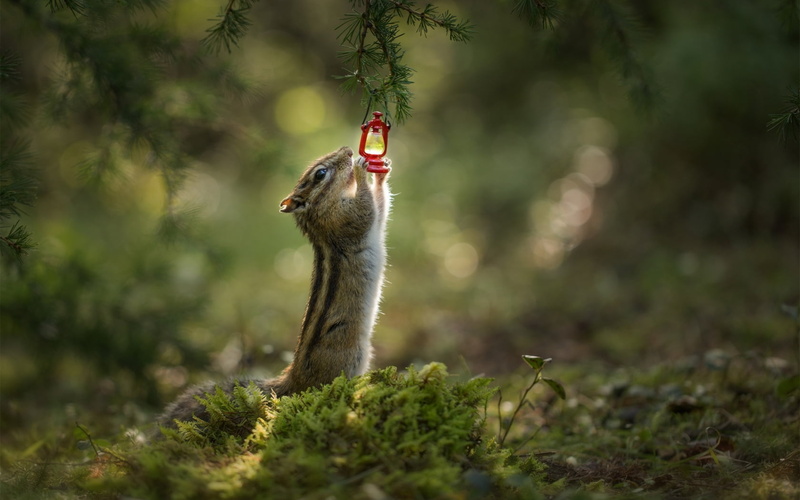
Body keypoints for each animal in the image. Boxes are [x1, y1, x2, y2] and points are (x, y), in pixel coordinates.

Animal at [160, 146, 391, 426]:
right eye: (320, 173)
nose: (347, 149)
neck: (317, 215)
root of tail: (292, 380)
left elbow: (381, 209)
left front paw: (381, 171)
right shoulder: (345, 219)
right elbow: (368, 209)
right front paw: (360, 169)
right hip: (348, 361)